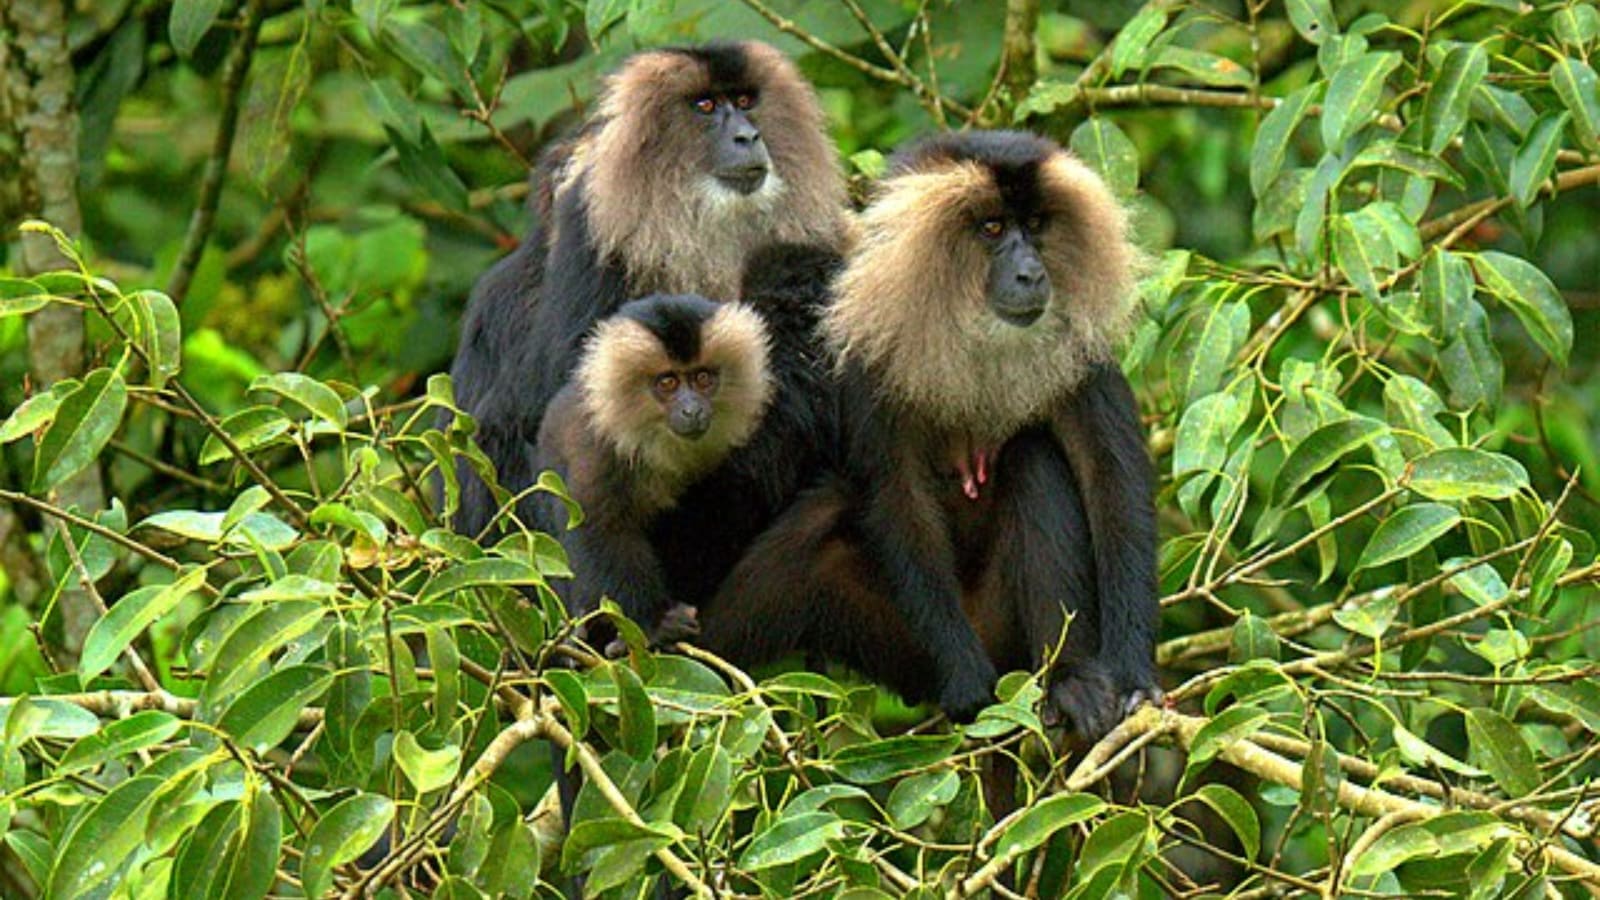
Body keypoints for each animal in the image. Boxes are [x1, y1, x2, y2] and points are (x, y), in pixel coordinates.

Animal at [531, 293, 775, 651]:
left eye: (703, 378)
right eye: (668, 383)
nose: (692, 410)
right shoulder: (601, 450)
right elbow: (601, 525)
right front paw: (655, 624)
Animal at [698, 131, 1161, 740]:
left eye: (1036, 225)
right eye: (992, 228)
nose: (1031, 273)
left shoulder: (1083, 352)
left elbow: (1112, 485)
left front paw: (1134, 676)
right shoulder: (870, 353)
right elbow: (900, 502)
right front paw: (966, 682)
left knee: (1033, 459)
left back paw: (1070, 680)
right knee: (819, 520)